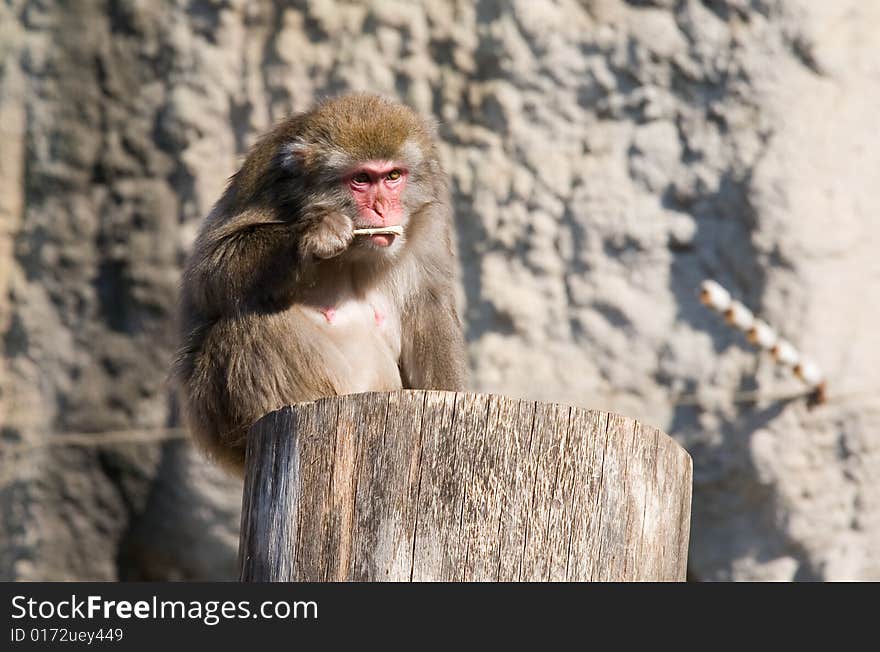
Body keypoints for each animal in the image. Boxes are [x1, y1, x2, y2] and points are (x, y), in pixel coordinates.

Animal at [174, 93, 470, 474]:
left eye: (393, 176)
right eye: (361, 179)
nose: (382, 208)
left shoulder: (427, 223)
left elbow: (428, 308)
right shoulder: (268, 189)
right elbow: (209, 274)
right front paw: (316, 231)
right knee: (244, 327)